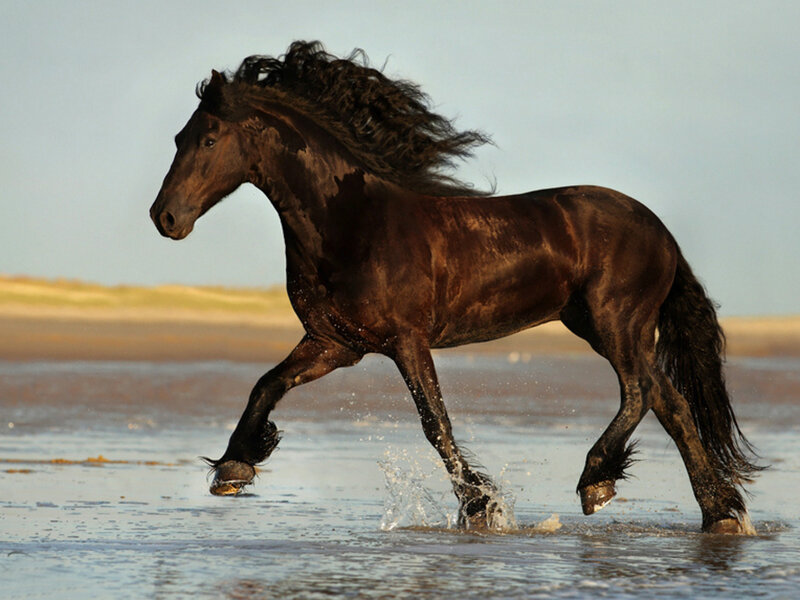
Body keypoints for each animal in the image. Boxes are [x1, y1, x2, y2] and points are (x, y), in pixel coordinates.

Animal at [150, 41, 761, 534]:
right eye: (179, 136)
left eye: (208, 139)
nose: (165, 218)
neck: (350, 221)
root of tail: (661, 231)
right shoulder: (336, 344)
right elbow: (266, 385)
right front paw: (233, 468)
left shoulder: (406, 341)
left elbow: (435, 424)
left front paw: (480, 507)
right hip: (600, 325)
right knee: (672, 404)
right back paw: (720, 515)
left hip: (617, 322)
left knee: (640, 393)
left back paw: (597, 483)